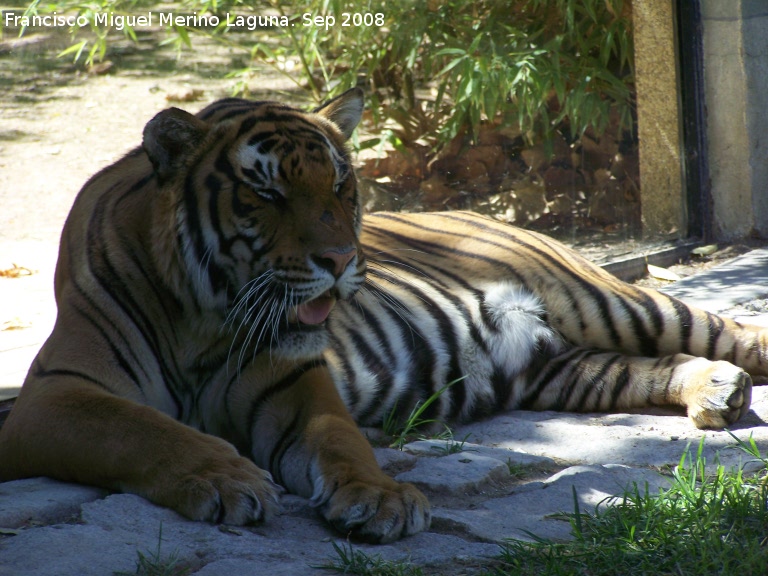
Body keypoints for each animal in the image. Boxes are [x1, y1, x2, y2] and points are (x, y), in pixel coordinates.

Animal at [0, 88, 763, 544]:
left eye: (341, 184)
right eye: (267, 193)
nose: (340, 259)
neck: (203, 314)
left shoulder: (293, 382)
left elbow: (341, 440)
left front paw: (382, 499)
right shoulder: (54, 398)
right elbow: (142, 430)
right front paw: (223, 479)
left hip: (610, 302)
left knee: (728, 331)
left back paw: (730, 379)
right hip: (561, 369)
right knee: (648, 366)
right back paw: (715, 392)